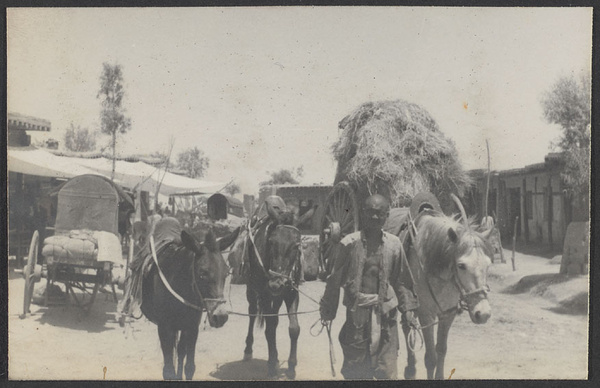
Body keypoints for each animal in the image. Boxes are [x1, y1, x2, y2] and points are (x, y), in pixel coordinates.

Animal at [141, 224, 239, 378]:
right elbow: (168, 370)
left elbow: (189, 366)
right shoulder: (164, 328)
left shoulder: (192, 327)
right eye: (202, 273)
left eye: (226, 273)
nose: (220, 316)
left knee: (181, 352)